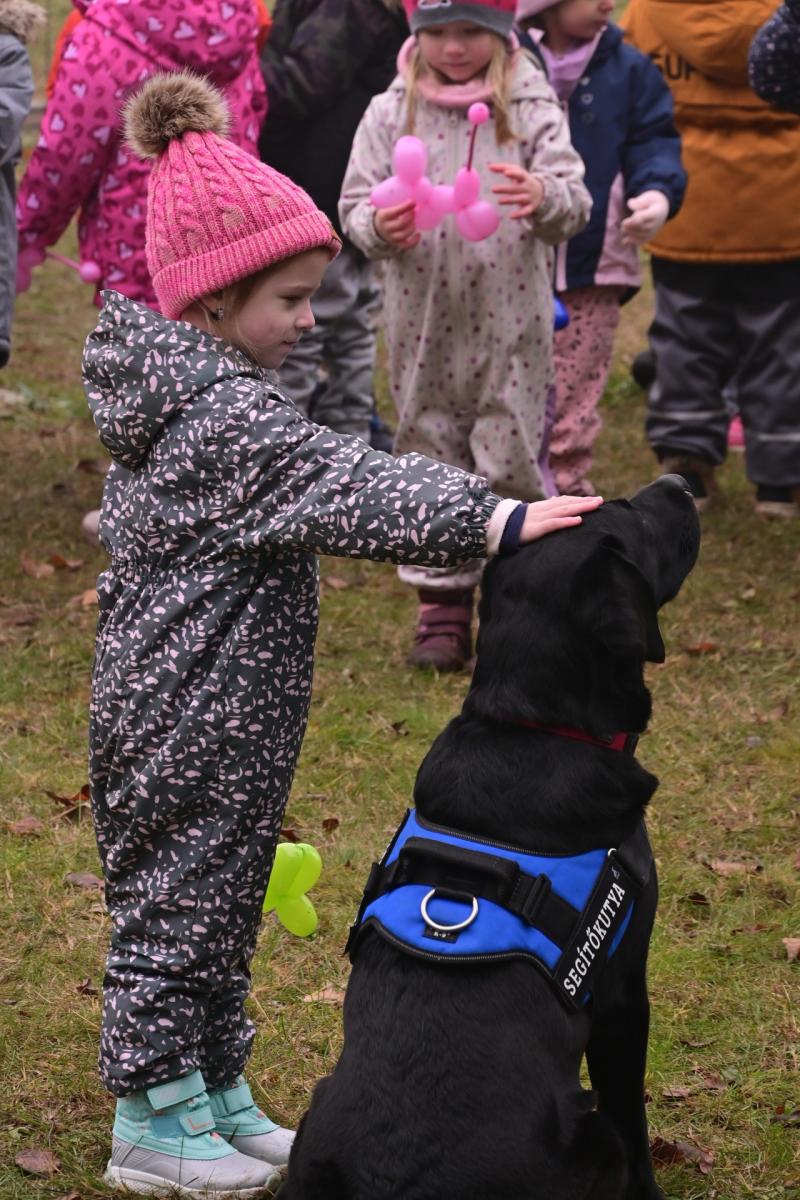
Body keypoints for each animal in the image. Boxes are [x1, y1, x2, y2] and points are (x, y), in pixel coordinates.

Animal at [283, 472, 700, 1200]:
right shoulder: (622, 990)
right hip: (592, 1132)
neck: (529, 724)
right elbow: (635, 1114)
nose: (680, 480)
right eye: (631, 513)